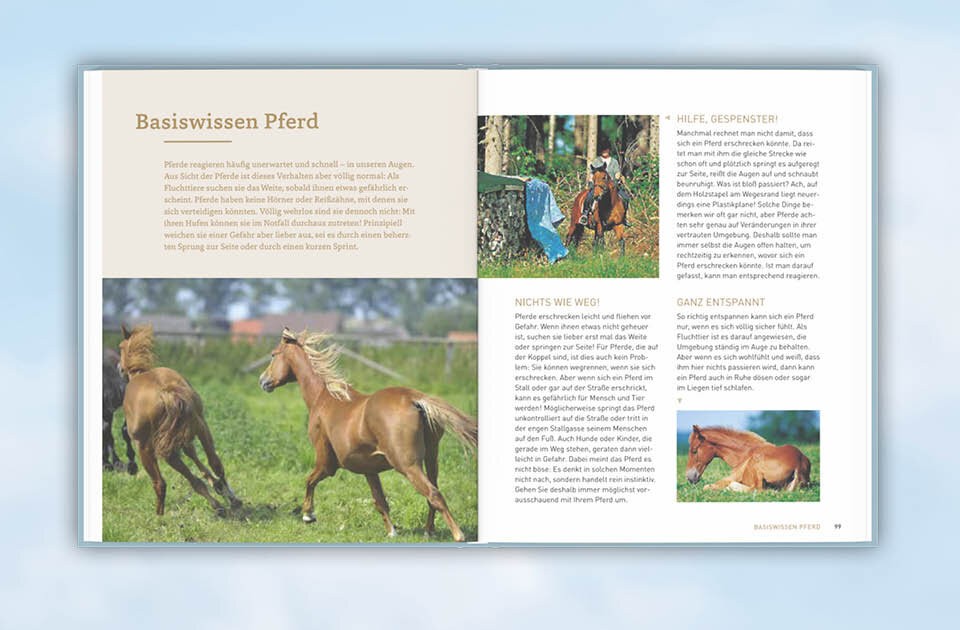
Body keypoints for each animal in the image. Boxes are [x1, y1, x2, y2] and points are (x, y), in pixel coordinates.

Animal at [118, 324, 240, 515]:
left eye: (120, 347)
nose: (119, 368)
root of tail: (166, 393)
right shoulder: (180, 440)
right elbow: (198, 464)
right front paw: (218, 488)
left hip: (149, 449)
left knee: (160, 483)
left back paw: (160, 515)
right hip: (200, 426)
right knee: (215, 463)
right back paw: (230, 499)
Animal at [258, 328, 478, 542]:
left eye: (273, 354)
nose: (262, 380)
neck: (324, 398)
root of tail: (414, 399)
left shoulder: (327, 462)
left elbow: (309, 480)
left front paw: (308, 515)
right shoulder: (369, 469)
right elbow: (380, 501)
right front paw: (391, 532)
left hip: (407, 464)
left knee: (433, 494)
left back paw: (458, 535)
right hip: (431, 459)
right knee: (433, 492)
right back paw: (428, 531)